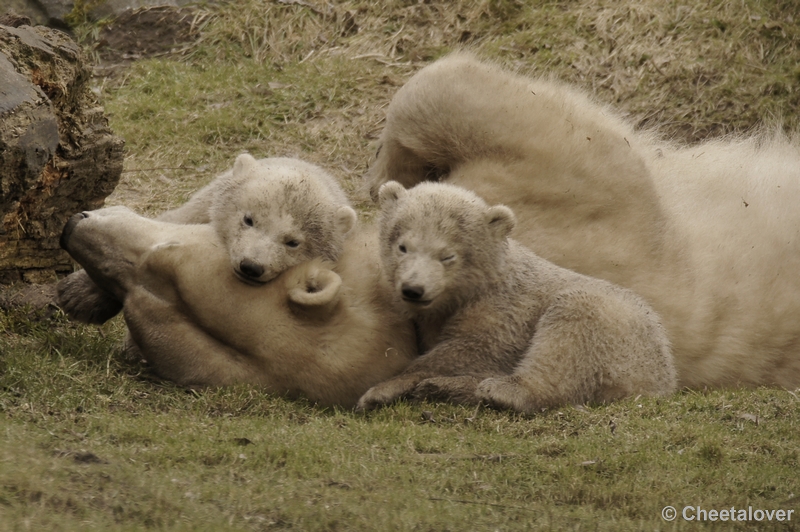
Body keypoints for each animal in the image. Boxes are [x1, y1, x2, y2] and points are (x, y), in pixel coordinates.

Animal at [356, 183, 676, 412]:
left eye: (447, 256)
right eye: (402, 247)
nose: (413, 289)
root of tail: (665, 378)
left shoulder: (506, 307)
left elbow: (478, 347)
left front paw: (381, 389)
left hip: (624, 339)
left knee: (573, 329)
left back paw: (495, 390)